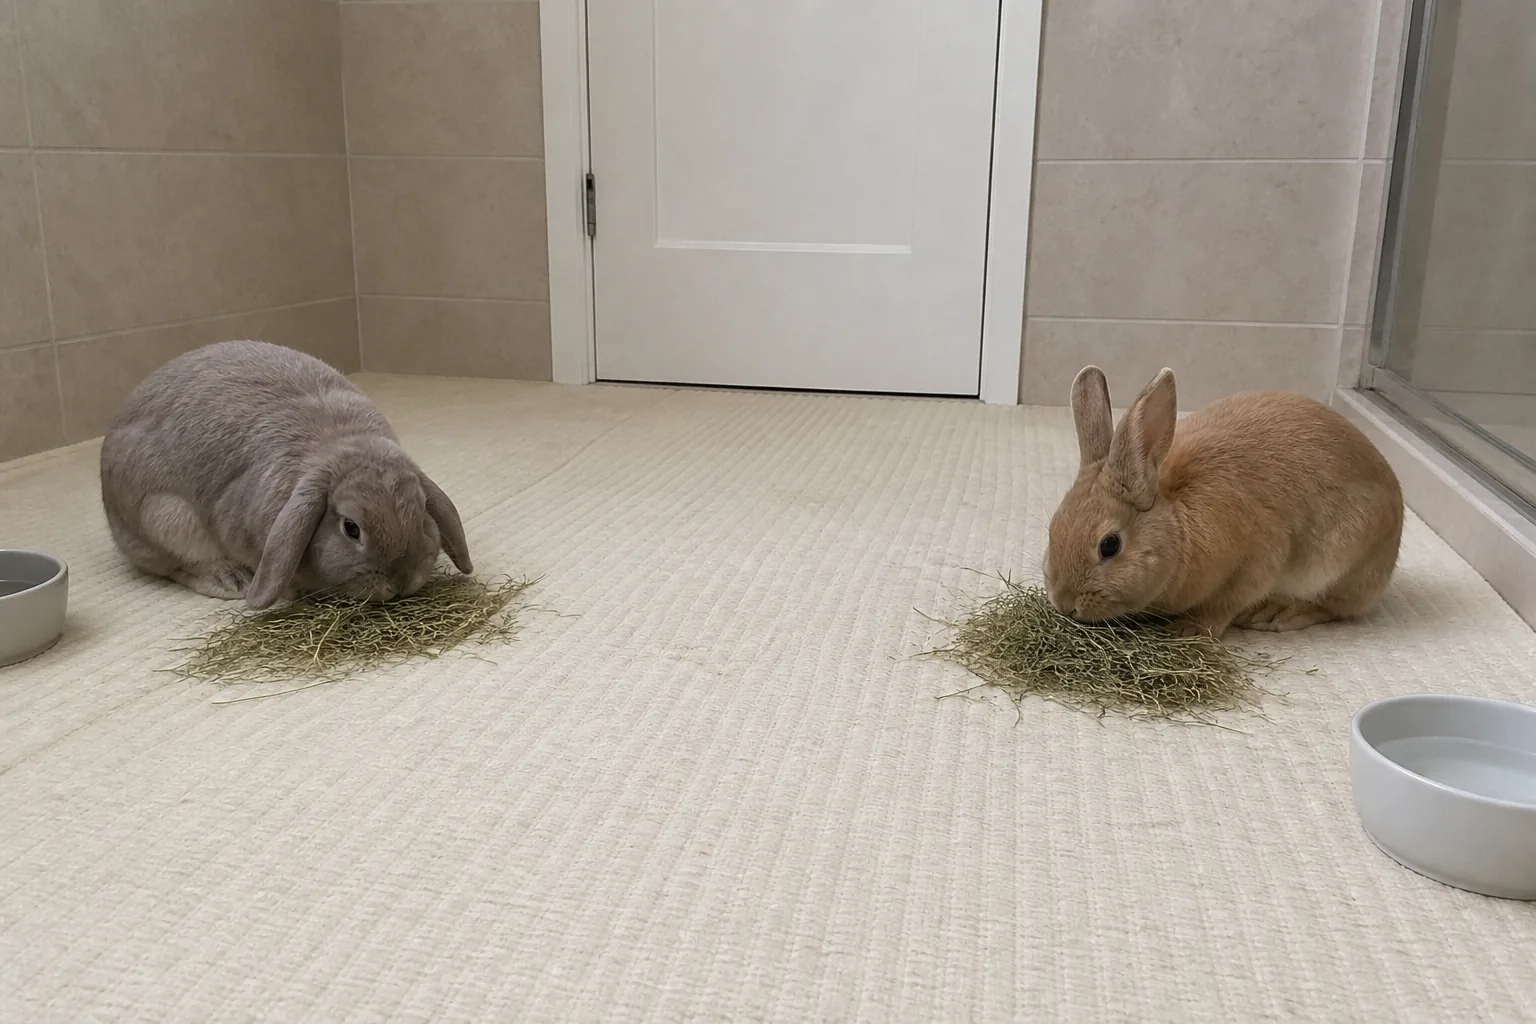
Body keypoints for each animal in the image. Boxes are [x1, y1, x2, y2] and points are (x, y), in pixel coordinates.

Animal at [100, 339, 473, 609]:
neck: (342, 443)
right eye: (351, 528)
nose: (401, 581)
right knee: (177, 567)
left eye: (421, 512)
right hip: (165, 519)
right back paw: (230, 580)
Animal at [1043, 365, 1403, 638]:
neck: (1178, 529)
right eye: (1052, 530)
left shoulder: (1257, 560)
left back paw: (1278, 613)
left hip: (1341, 563)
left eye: (1110, 545)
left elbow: (1224, 605)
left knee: (1334, 607)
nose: (1065, 603)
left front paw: (1187, 630)